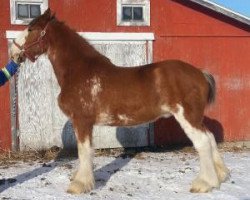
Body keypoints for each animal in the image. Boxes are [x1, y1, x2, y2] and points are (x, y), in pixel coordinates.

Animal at [10, 9, 229, 194]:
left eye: (30, 29)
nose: (13, 52)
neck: (80, 71)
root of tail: (200, 73)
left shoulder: (82, 120)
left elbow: (84, 151)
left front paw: (79, 184)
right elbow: (86, 151)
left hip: (187, 117)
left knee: (202, 142)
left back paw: (204, 183)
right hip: (195, 118)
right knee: (210, 137)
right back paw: (220, 176)